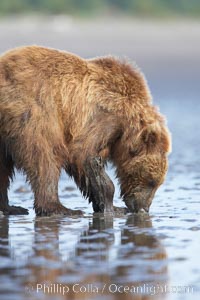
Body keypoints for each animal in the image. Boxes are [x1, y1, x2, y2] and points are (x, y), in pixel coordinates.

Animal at [0, 45, 170, 216]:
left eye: (158, 183)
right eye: (151, 181)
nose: (144, 208)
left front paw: (109, 206)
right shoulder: (103, 117)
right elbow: (83, 152)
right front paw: (110, 205)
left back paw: (11, 207)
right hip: (34, 109)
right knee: (44, 155)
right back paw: (59, 208)